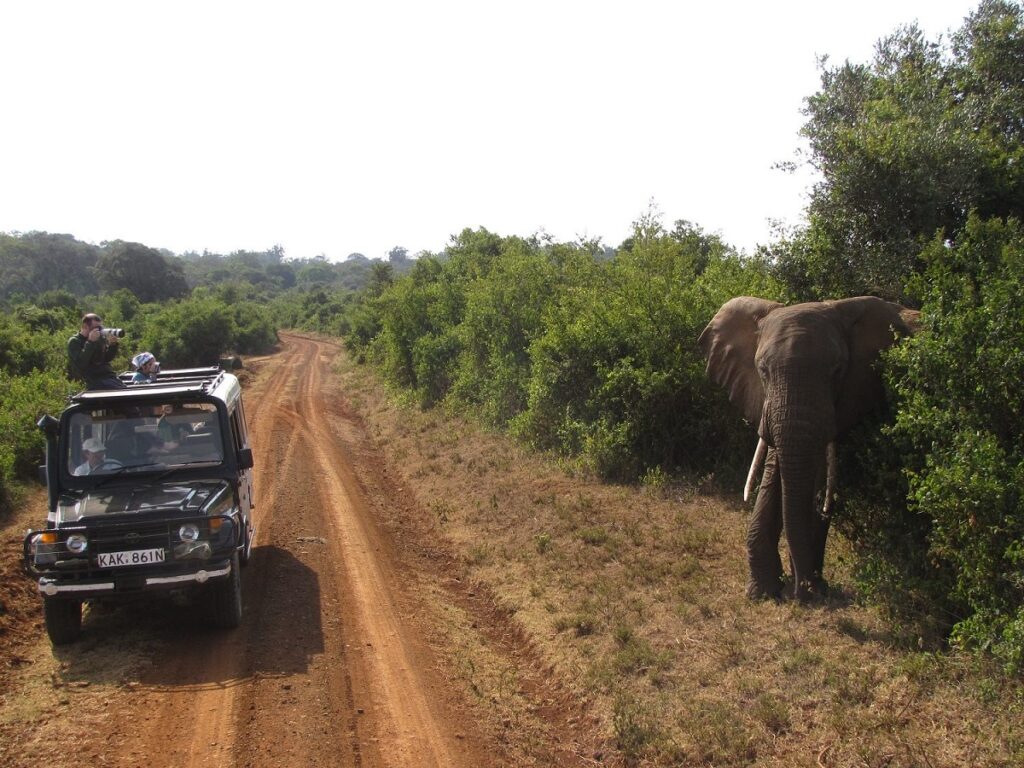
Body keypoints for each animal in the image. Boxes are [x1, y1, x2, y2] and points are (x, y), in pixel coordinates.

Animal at [700, 296, 917, 606]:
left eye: (837, 370)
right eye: (762, 370)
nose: (802, 592)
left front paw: (808, 589)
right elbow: (778, 466)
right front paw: (762, 592)